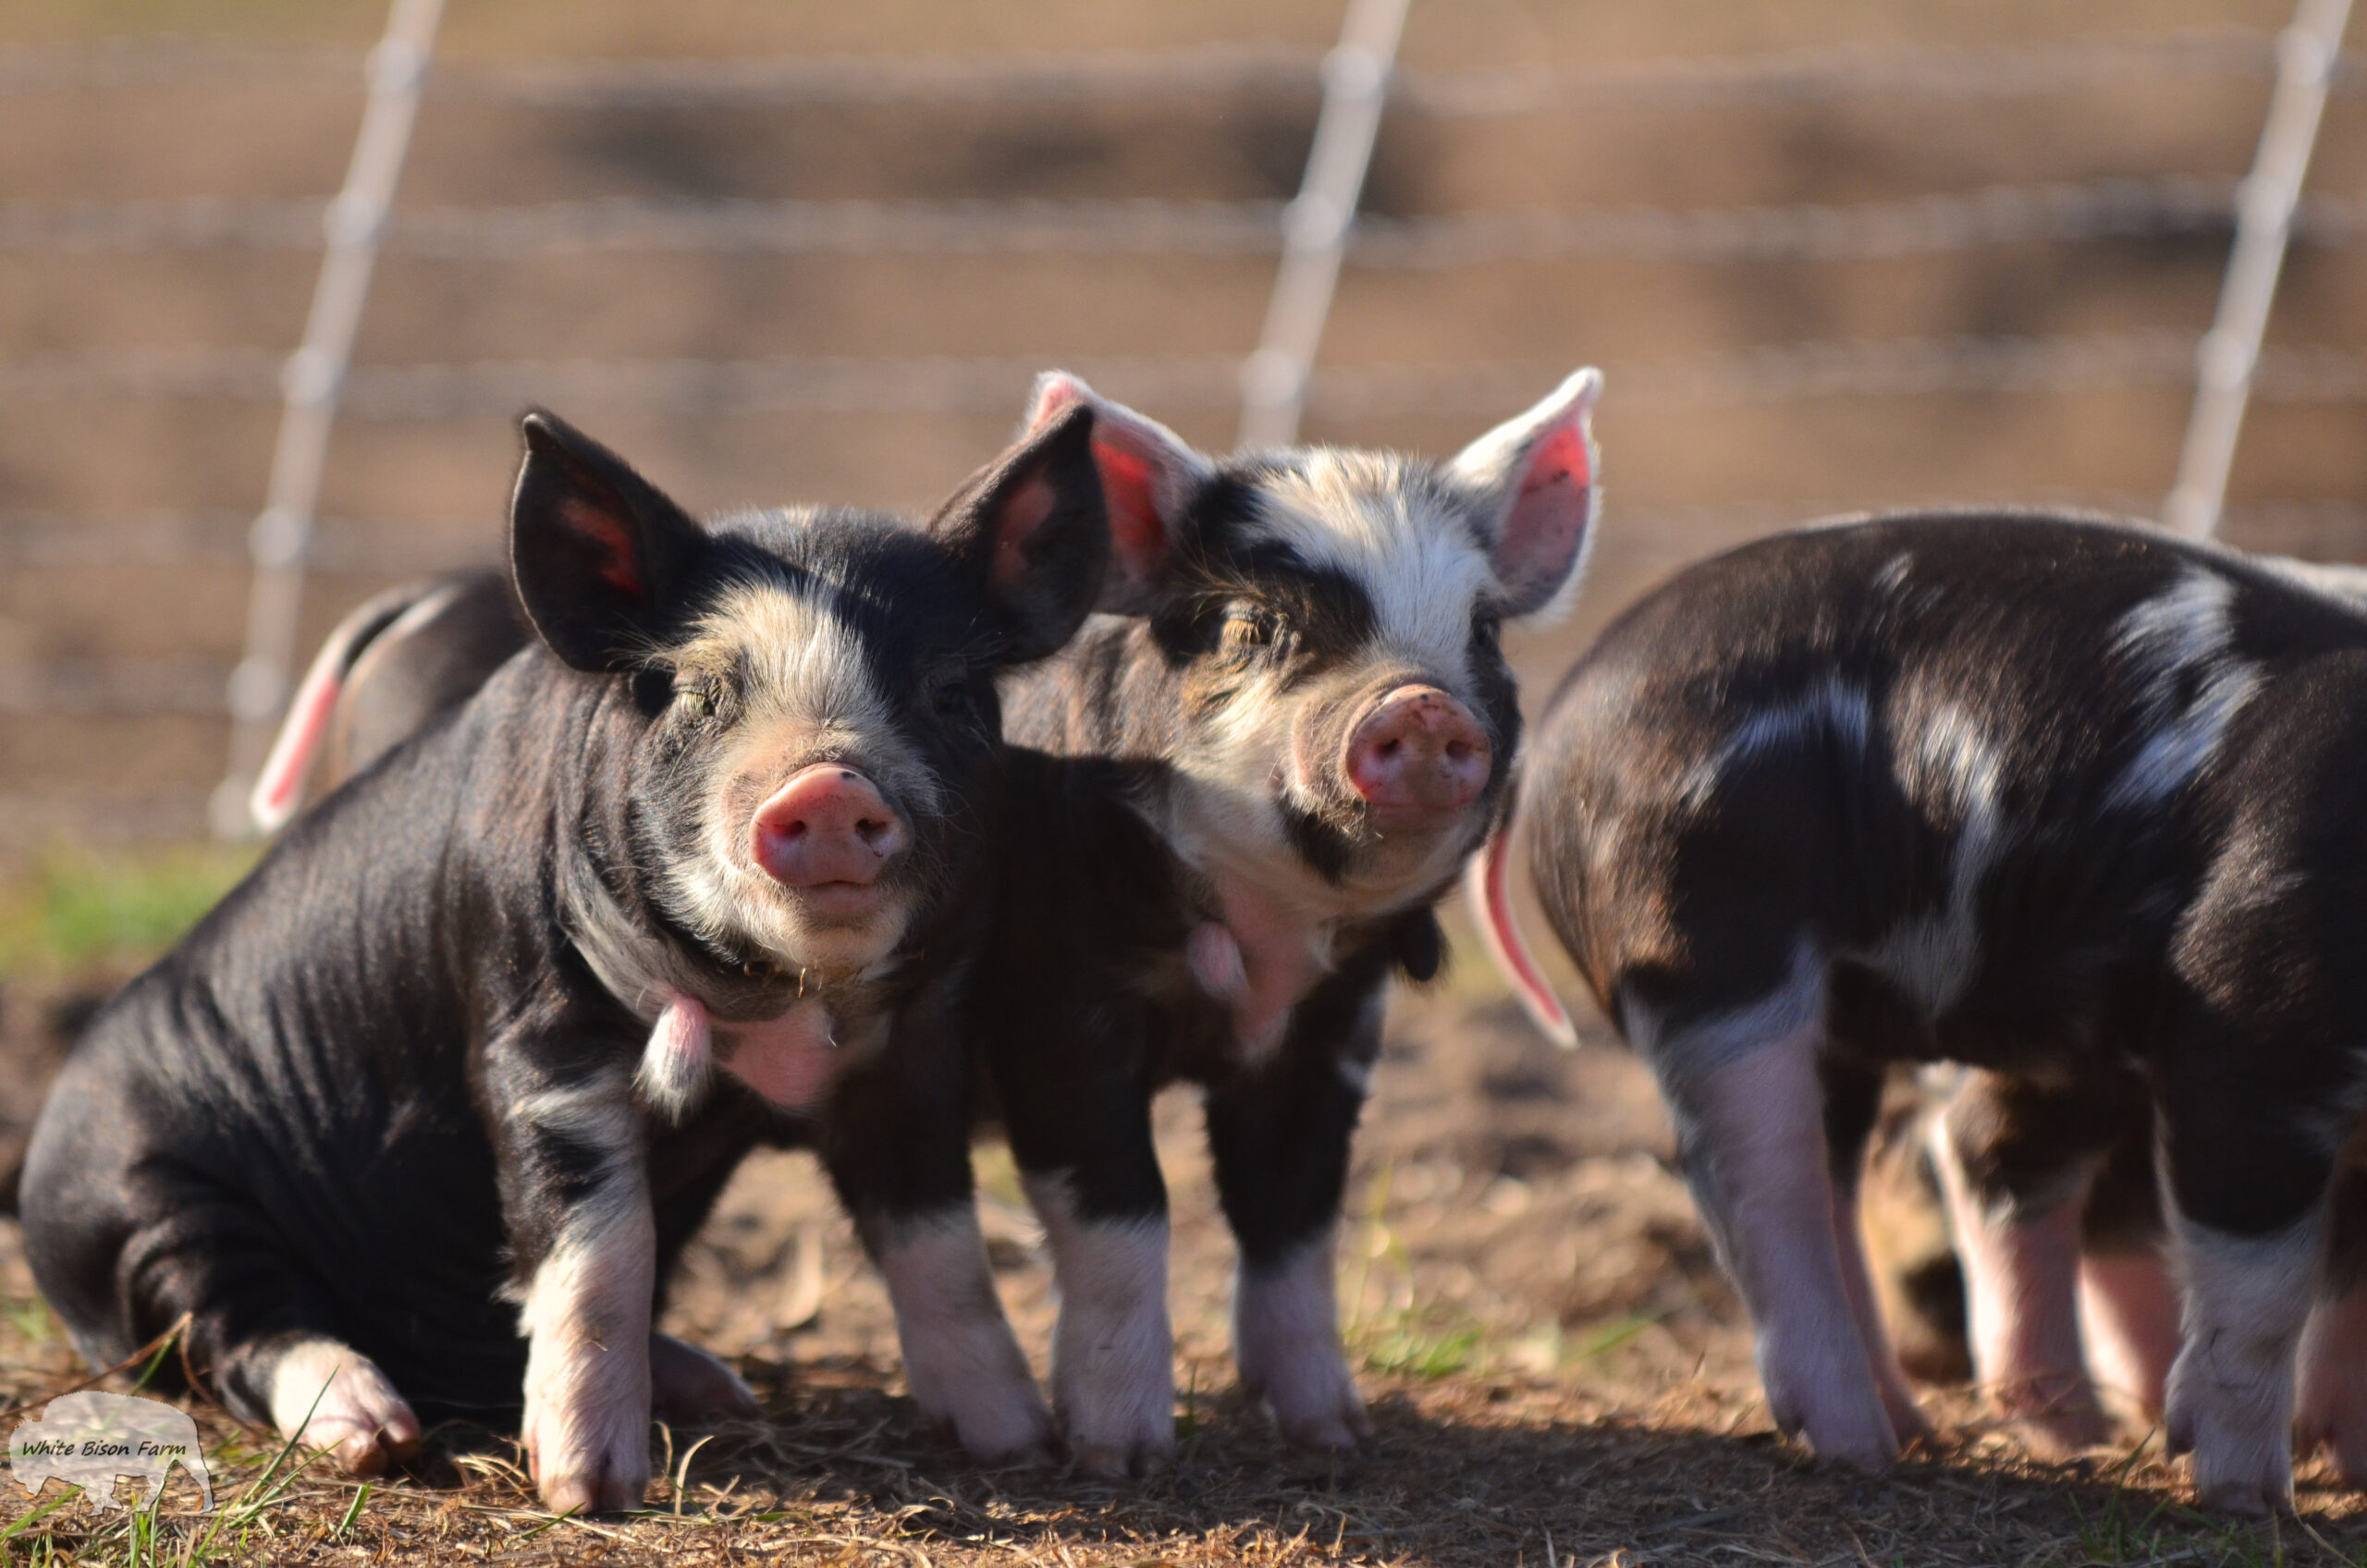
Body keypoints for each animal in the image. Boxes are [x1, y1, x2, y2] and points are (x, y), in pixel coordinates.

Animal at [19, 403, 1111, 1513]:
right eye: (695, 695)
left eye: (948, 691)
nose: (826, 783)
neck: (788, 1003)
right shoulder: (538, 1040)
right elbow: (599, 1249)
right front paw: (587, 1489)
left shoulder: (914, 1053)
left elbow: (943, 1247)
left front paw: (1023, 1446)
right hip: (142, 1210)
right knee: (239, 1328)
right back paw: (375, 1433)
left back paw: (717, 1388)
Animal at [972, 368, 1601, 1472]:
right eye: (1251, 627)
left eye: (1481, 631)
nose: (1423, 706)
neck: (1265, 948)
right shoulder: (1050, 1002)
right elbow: (1124, 1212)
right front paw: (1120, 1458)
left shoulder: (1331, 1030)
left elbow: (1294, 1216)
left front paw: (1335, 1435)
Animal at [1476, 508, 2367, 1512]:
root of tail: (1558, 721)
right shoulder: (2253, 1014)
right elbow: (2265, 1283)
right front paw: (2252, 1501)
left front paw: (2348, 1459)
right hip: (1703, 944)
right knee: (1761, 1190)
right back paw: (1866, 1445)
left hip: (1949, 1024)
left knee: (1902, 1171)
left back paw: (1953, 1432)